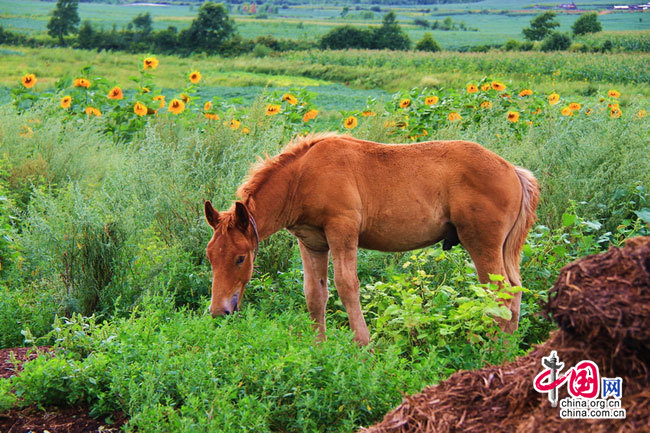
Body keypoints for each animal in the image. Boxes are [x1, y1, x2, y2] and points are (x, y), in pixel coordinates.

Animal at [202, 132, 536, 344]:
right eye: (210, 257)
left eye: (240, 258)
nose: (219, 312)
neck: (303, 177)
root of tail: (513, 170)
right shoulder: (311, 242)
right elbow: (314, 293)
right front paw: (319, 347)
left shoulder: (342, 231)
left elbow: (347, 286)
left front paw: (363, 346)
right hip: (504, 249)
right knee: (515, 291)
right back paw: (507, 349)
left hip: (481, 243)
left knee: (500, 294)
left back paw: (488, 350)